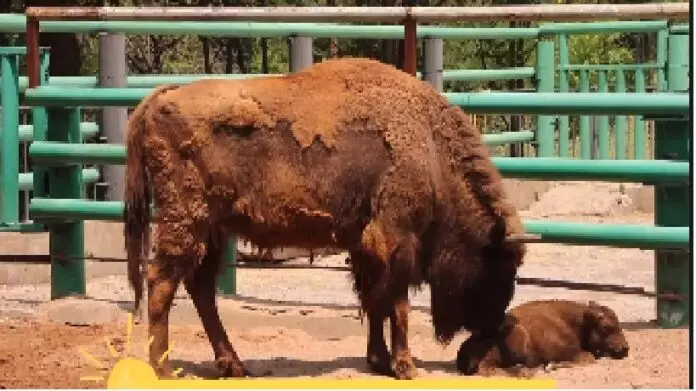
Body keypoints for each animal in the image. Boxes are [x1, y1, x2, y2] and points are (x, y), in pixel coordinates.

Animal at [125, 57, 528, 380]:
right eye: (499, 268)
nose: (492, 324)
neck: (429, 146)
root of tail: (161, 99)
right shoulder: (397, 240)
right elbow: (397, 305)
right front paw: (405, 366)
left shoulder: (366, 247)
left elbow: (374, 301)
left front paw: (379, 361)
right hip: (186, 222)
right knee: (162, 282)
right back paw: (163, 369)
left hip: (212, 229)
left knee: (200, 287)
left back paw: (233, 365)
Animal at [456, 300, 632, 376]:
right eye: (606, 327)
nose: (625, 349)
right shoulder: (566, 351)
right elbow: (588, 357)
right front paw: (552, 365)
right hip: (518, 336)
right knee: (487, 368)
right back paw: (525, 371)